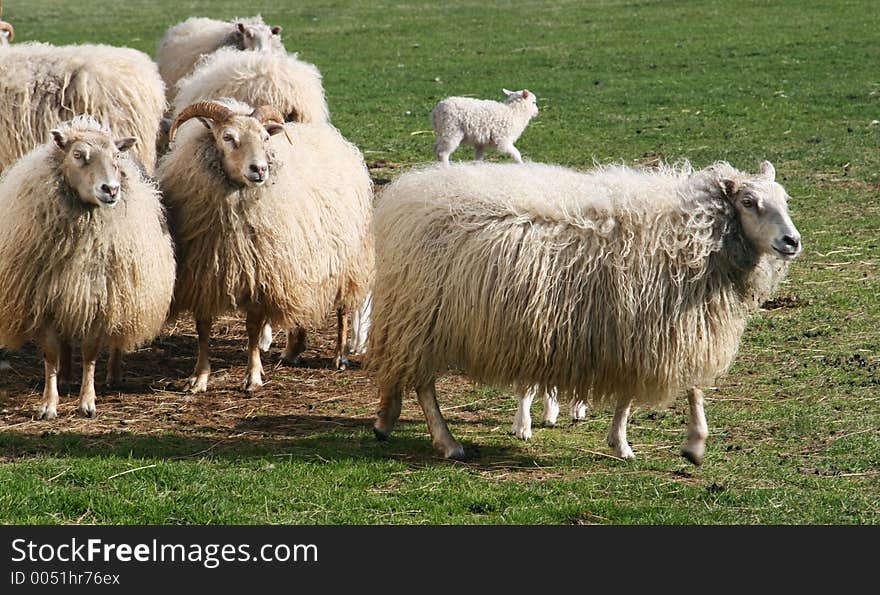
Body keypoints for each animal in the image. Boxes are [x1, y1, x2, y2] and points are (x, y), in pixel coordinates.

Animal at [158, 98, 372, 396]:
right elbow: (203, 328)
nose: (259, 169)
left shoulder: (260, 275)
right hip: (298, 263)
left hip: (346, 260)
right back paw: (293, 350)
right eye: (228, 137)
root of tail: (332, 137)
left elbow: (252, 329)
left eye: (265, 138)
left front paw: (252, 377)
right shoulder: (204, 276)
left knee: (342, 309)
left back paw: (340, 355)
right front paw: (199, 378)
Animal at [368, 159, 800, 466]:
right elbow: (670, 388)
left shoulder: (650, 330)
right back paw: (446, 442)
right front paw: (665, 444)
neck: (695, 237)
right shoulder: (653, 327)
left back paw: (387, 421)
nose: (792, 241)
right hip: (420, 314)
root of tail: (406, 193)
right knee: (423, 385)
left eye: (785, 200)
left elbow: (675, 388)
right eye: (749, 203)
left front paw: (661, 444)